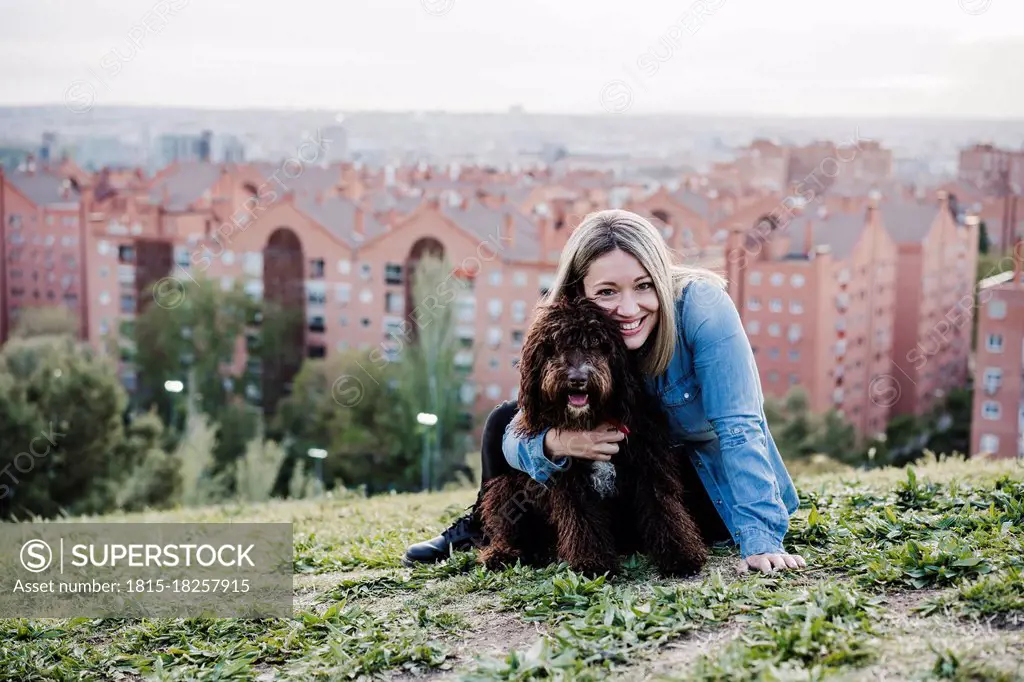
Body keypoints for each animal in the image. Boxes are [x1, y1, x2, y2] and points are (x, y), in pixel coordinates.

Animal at [475, 296, 708, 573]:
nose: (577, 379)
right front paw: (592, 562)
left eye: (597, 343)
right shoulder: (571, 483)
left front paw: (680, 555)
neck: (594, 418)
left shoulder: (649, 465)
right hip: (508, 488)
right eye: (555, 345)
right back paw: (503, 553)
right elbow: (582, 520)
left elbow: (663, 508)